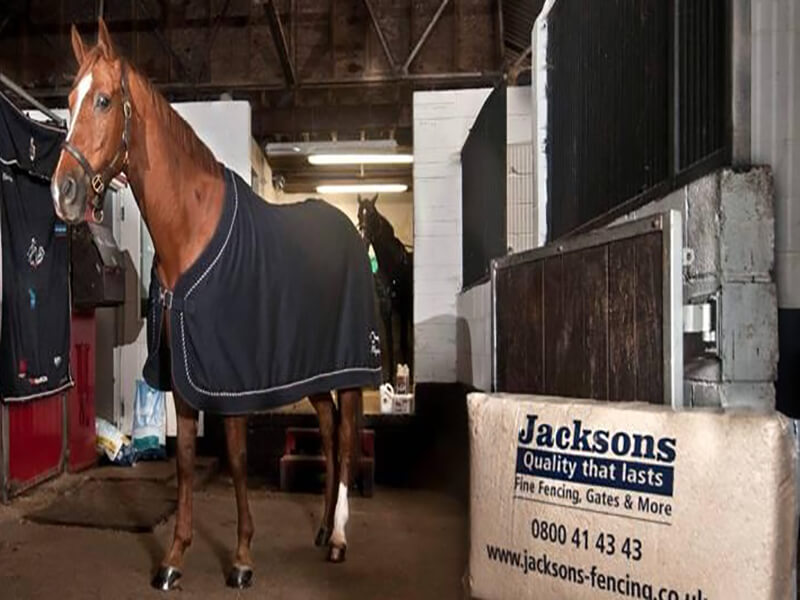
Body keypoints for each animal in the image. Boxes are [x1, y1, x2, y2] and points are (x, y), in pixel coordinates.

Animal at [52, 19, 382, 591]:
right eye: (68, 101)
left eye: (104, 100)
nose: (62, 192)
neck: (190, 232)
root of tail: (348, 233)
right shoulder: (182, 374)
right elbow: (185, 461)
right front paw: (173, 559)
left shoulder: (230, 378)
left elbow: (236, 457)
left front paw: (243, 559)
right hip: (313, 370)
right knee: (325, 426)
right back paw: (321, 530)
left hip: (349, 368)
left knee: (344, 437)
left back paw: (339, 537)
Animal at [357, 194, 413, 377]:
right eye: (359, 214)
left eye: (372, 214)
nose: (364, 240)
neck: (393, 266)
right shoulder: (386, 310)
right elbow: (389, 344)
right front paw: (390, 378)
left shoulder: (403, 309)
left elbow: (403, 343)